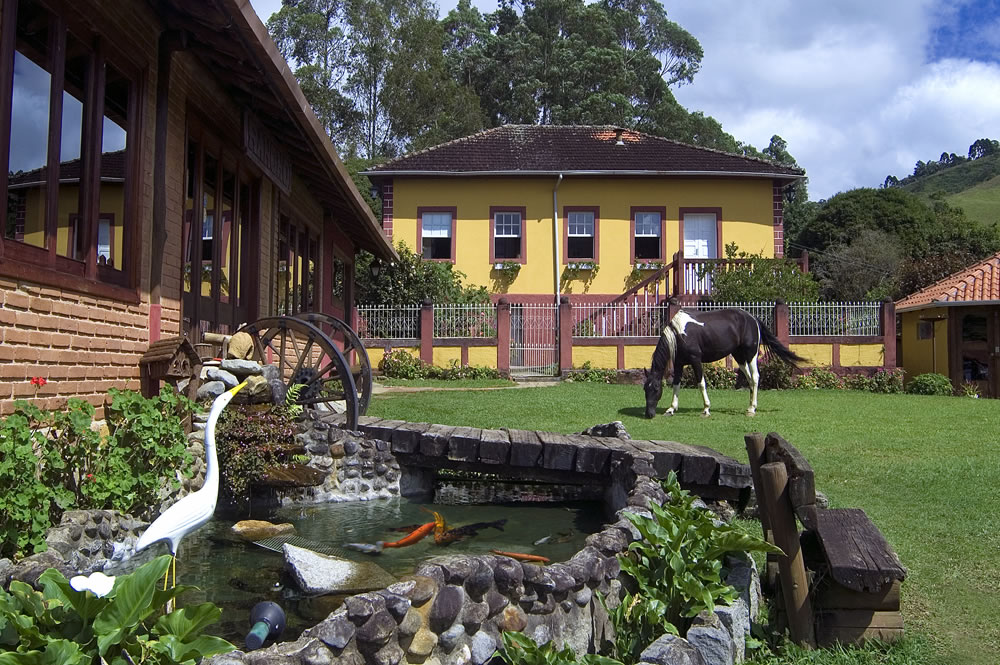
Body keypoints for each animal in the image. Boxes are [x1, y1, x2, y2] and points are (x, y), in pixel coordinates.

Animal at [640, 308, 804, 416]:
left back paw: (752, 409)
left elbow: (701, 383)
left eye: (656, 389)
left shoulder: (695, 360)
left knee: (755, 377)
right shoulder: (679, 363)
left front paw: (706, 409)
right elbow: (676, 384)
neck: (679, 333)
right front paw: (671, 408)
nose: (649, 414)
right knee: (750, 379)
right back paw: (750, 406)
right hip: (739, 357)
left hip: (751, 354)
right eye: (645, 389)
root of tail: (752, 318)